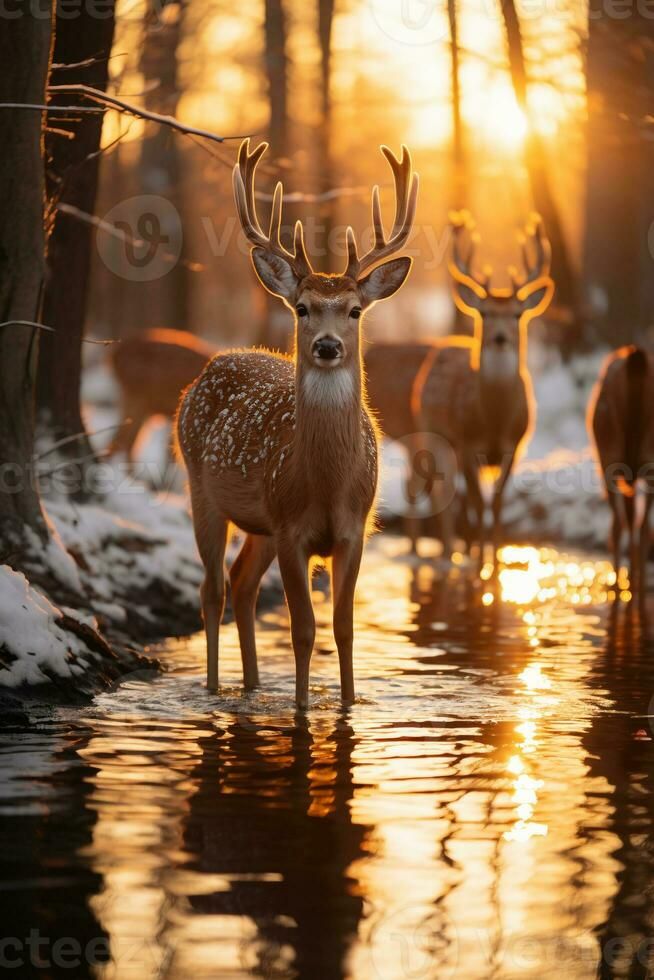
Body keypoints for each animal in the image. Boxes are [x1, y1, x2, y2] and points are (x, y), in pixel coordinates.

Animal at [177, 136, 418, 704]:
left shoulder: (353, 530)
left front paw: (349, 703)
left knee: (241, 584)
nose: (327, 346)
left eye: (354, 310)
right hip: (201, 488)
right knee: (212, 589)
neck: (326, 485)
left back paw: (251, 687)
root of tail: (211, 366)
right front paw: (303, 709)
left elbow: (344, 628)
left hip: (260, 524)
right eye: (303, 307)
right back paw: (216, 690)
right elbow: (304, 629)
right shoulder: (292, 531)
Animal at [416, 212, 552, 568]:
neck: (494, 420)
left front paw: (496, 560)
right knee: (445, 494)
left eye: (517, 313)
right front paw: (479, 563)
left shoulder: (514, 445)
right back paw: (450, 553)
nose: (500, 337)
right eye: (485, 312)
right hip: (433, 432)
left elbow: (498, 501)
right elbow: (479, 502)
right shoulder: (467, 442)